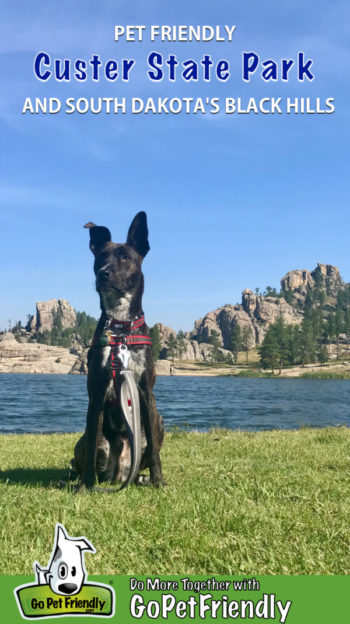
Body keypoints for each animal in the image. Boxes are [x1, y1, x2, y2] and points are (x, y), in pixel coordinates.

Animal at [73, 212, 165, 490]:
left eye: (126, 257)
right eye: (100, 257)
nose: (104, 273)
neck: (121, 326)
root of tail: (120, 473)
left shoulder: (146, 391)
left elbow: (154, 451)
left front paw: (159, 481)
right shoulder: (97, 394)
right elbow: (92, 445)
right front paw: (86, 487)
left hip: (159, 421)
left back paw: (143, 478)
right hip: (82, 440)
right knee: (83, 455)